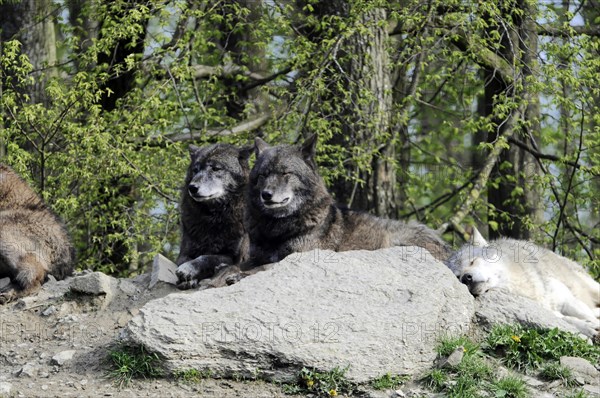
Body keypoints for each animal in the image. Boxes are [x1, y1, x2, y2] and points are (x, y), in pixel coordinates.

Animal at [173, 145, 251, 288]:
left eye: (215, 168)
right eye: (195, 170)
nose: (192, 187)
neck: (213, 218)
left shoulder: (232, 257)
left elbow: (207, 257)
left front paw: (188, 269)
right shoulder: (184, 252)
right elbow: (184, 260)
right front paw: (188, 279)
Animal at [243, 134, 450, 270]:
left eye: (285, 173)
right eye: (262, 176)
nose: (266, 194)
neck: (277, 230)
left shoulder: (297, 255)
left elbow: (258, 269)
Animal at [450, 229, 600, 338]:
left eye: (472, 261)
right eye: (458, 277)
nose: (466, 278)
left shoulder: (567, 300)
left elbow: (586, 316)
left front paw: (592, 323)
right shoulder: (545, 310)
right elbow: (566, 320)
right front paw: (586, 327)